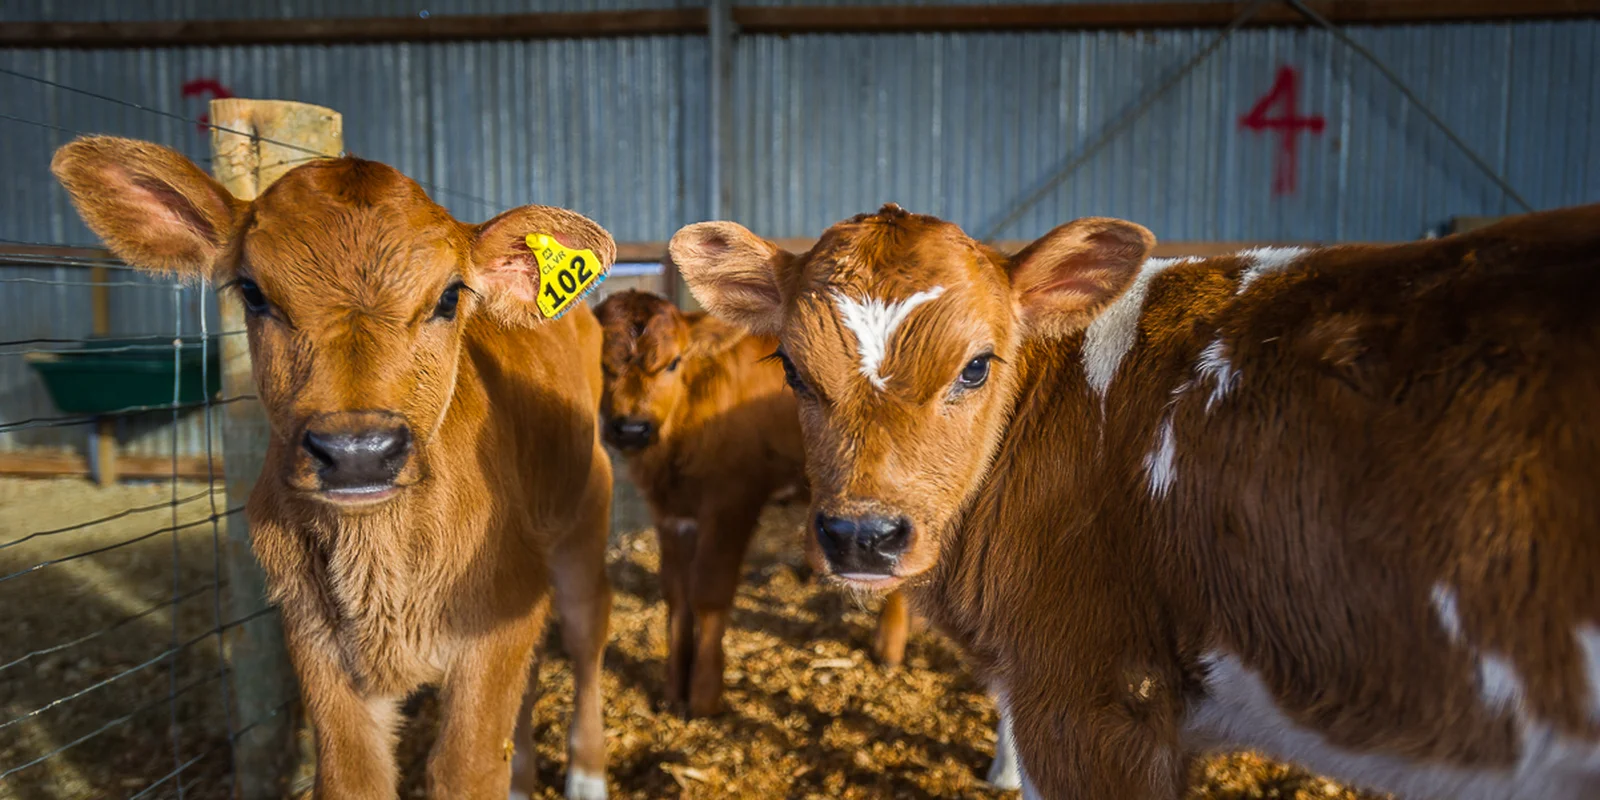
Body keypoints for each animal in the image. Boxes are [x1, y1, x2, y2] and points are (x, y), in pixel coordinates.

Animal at [52, 136, 616, 800]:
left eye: (450, 296)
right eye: (252, 292)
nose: (358, 451)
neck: (381, 565)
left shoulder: (498, 619)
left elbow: (466, 768)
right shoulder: (316, 639)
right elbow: (353, 776)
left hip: (583, 522)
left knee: (585, 634)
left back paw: (587, 775)